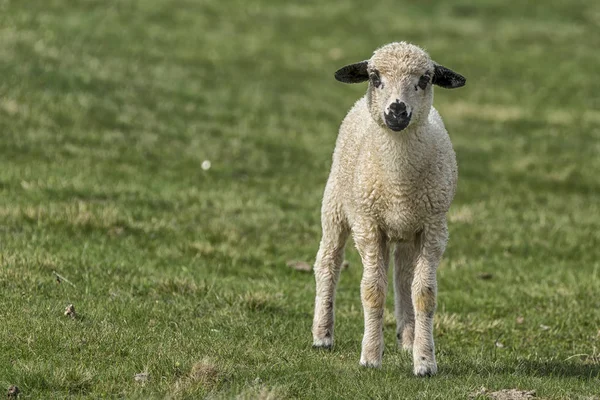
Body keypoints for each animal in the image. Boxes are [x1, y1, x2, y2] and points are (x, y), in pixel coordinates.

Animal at [312, 42, 466, 376]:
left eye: (425, 79)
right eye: (375, 77)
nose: (397, 111)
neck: (398, 184)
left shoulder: (434, 227)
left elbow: (424, 293)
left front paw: (424, 362)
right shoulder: (368, 226)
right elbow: (372, 291)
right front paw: (370, 357)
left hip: (406, 230)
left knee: (403, 275)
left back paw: (407, 338)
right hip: (336, 206)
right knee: (328, 263)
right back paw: (322, 335)